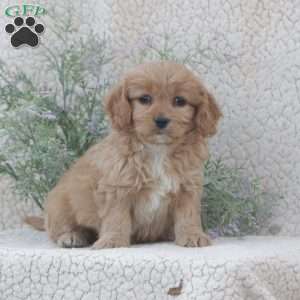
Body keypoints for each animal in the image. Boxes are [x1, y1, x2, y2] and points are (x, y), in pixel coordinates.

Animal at [25, 60, 221, 248]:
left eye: (180, 101)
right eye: (145, 99)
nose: (161, 120)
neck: (158, 150)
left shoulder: (187, 187)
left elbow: (188, 215)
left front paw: (193, 235)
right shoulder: (117, 188)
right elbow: (116, 217)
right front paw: (113, 240)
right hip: (59, 203)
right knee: (58, 229)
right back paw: (72, 236)